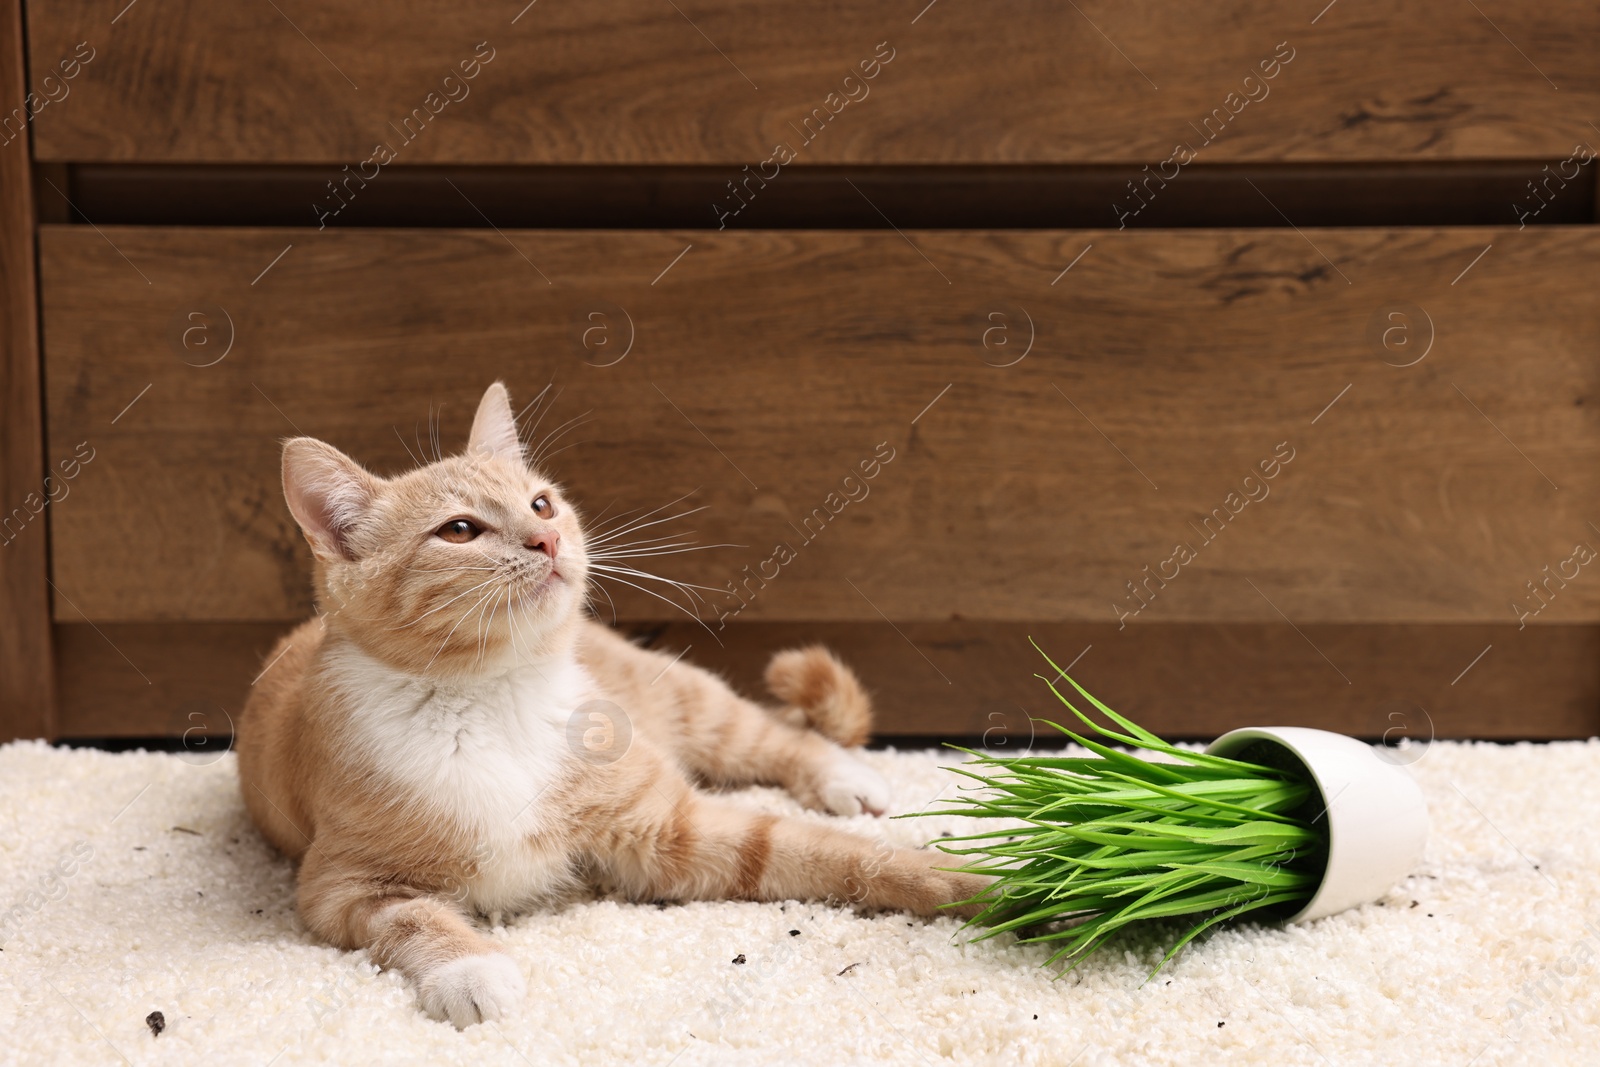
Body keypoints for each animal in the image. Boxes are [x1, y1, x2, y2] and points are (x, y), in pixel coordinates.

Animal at [236, 382, 985, 1023]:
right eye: (459, 530)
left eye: (541, 504)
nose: (548, 538)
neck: (491, 699)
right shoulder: (339, 885)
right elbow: (408, 918)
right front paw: (469, 969)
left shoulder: (667, 829)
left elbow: (832, 853)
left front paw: (983, 883)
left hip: (690, 702)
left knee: (774, 735)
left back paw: (844, 775)